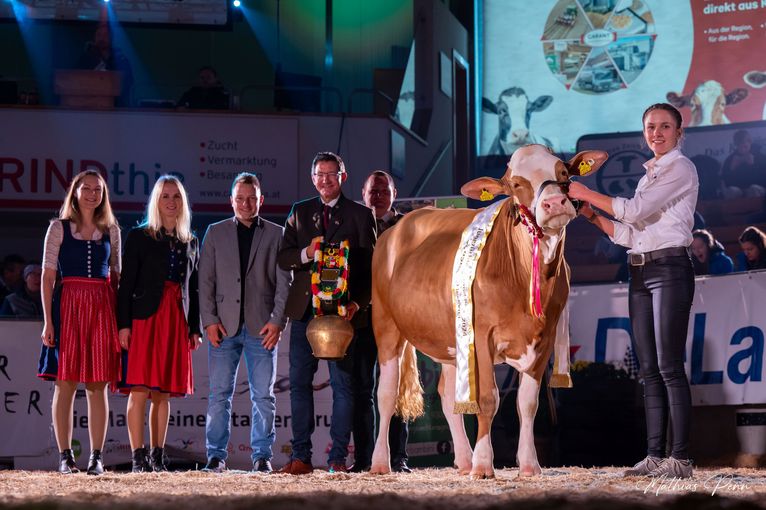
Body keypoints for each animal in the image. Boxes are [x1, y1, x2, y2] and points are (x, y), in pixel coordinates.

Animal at [368, 143, 608, 478]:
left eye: (563, 173)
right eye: (515, 185)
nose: (554, 202)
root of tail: (397, 226)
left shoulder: (545, 338)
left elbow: (527, 403)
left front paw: (529, 465)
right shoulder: (480, 335)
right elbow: (487, 398)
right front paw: (484, 465)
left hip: (451, 340)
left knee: (447, 395)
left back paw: (463, 459)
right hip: (387, 324)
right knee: (386, 394)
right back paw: (380, 463)